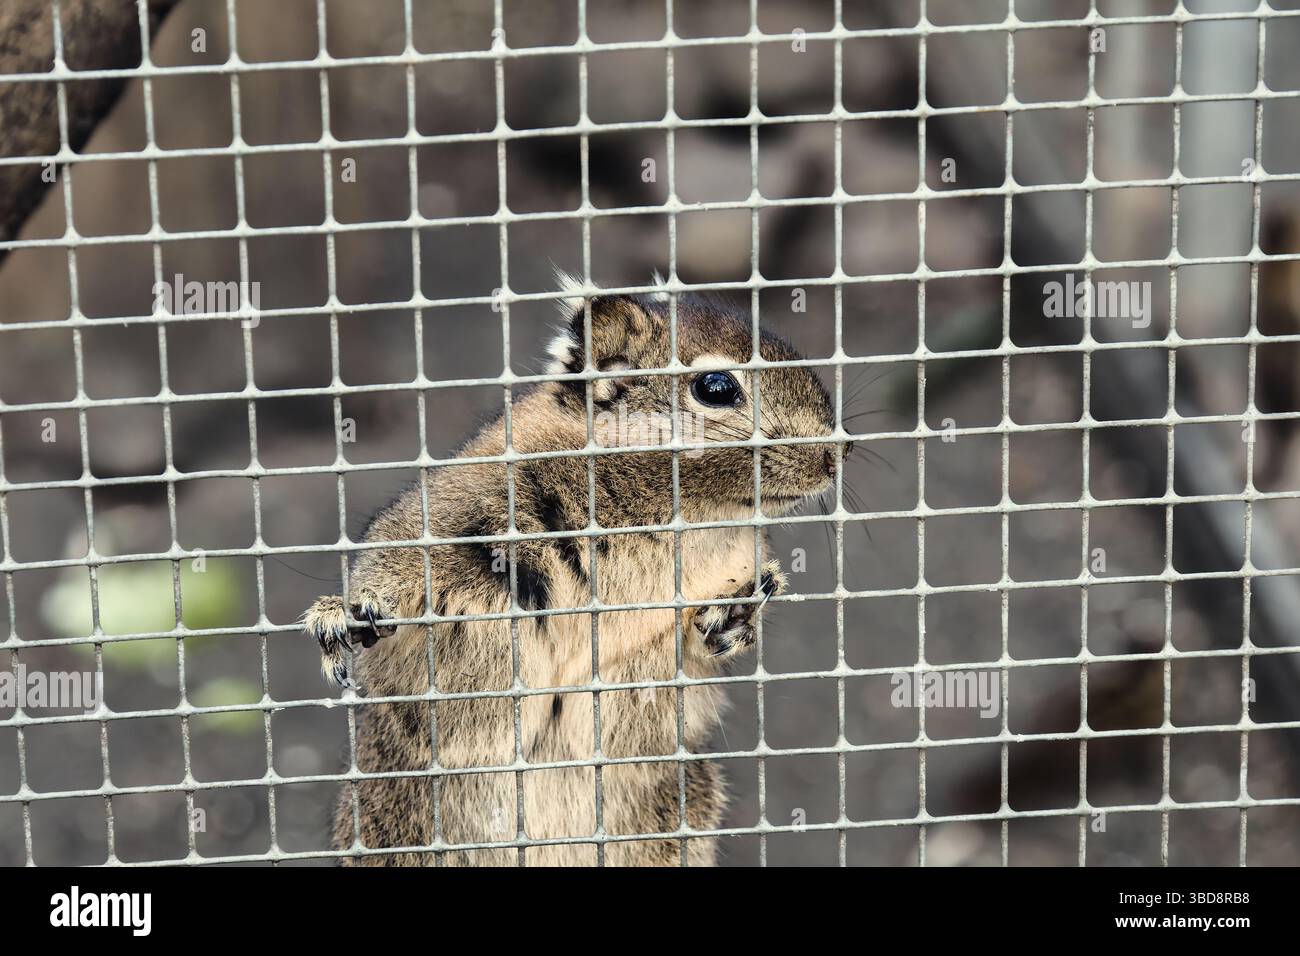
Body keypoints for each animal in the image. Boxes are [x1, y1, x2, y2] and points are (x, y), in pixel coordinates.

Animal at [302, 274, 847, 865]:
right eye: (717, 387)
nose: (839, 451)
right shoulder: (455, 518)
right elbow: (396, 565)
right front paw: (344, 615)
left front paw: (740, 611)